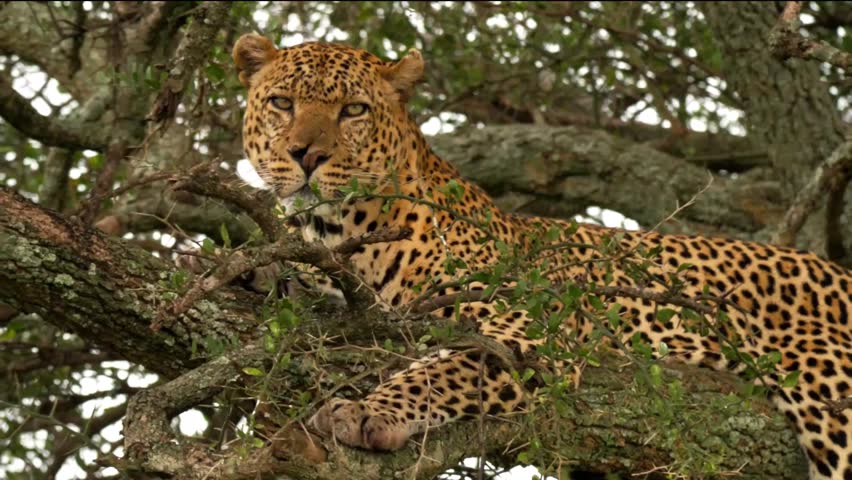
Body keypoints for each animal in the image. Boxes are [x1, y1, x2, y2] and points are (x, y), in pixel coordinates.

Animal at [231, 33, 852, 479]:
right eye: (283, 103)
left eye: (354, 110)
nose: (305, 155)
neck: (339, 229)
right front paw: (252, 268)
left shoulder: (526, 329)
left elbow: (443, 367)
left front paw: (371, 411)